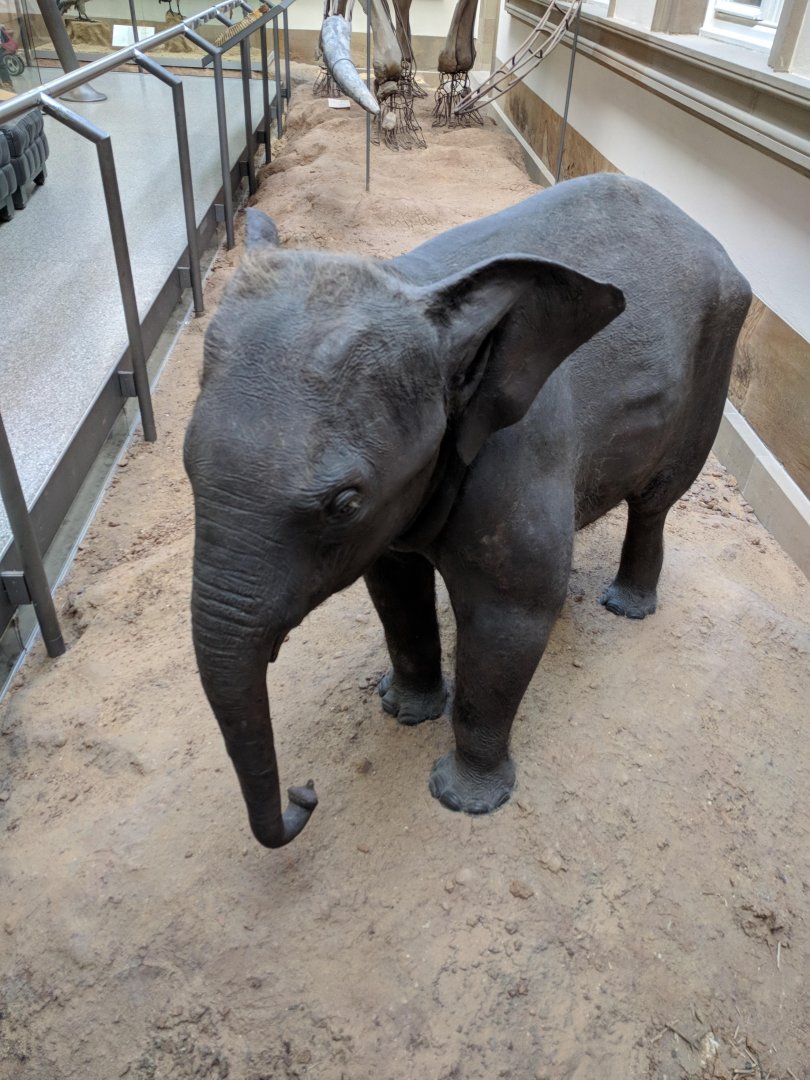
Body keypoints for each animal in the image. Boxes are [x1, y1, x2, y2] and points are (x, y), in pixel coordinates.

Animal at [184, 173, 751, 849]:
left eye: (343, 503)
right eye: (186, 466)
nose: (306, 794)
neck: (412, 279)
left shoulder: (519, 458)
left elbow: (509, 618)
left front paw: (463, 801)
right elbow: (395, 590)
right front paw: (402, 711)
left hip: (714, 368)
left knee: (655, 503)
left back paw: (627, 607)